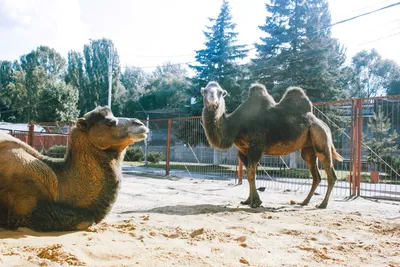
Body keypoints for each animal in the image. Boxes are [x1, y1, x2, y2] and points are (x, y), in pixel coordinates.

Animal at [202, 81, 342, 209]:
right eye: (205, 91)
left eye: (220, 92)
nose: (213, 100)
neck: (235, 126)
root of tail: (325, 125)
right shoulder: (243, 151)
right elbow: (249, 173)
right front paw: (247, 201)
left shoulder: (256, 147)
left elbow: (251, 174)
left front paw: (256, 202)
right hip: (308, 147)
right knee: (315, 174)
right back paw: (304, 202)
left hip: (321, 137)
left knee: (330, 173)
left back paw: (322, 204)